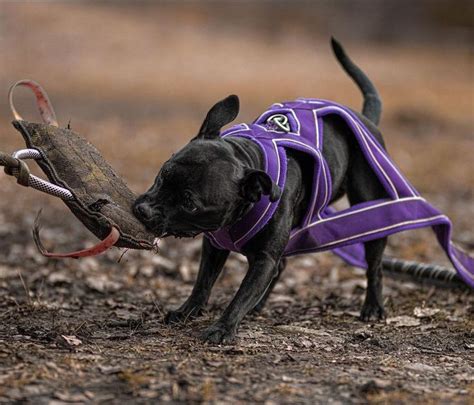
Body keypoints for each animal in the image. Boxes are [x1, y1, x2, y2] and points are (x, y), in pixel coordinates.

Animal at [133, 38, 388, 342]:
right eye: (164, 173)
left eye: (189, 203)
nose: (143, 210)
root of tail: (366, 119)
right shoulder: (214, 246)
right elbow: (203, 282)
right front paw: (187, 311)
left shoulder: (263, 260)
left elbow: (240, 296)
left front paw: (222, 327)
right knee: (281, 267)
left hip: (374, 212)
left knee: (374, 265)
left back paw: (373, 306)